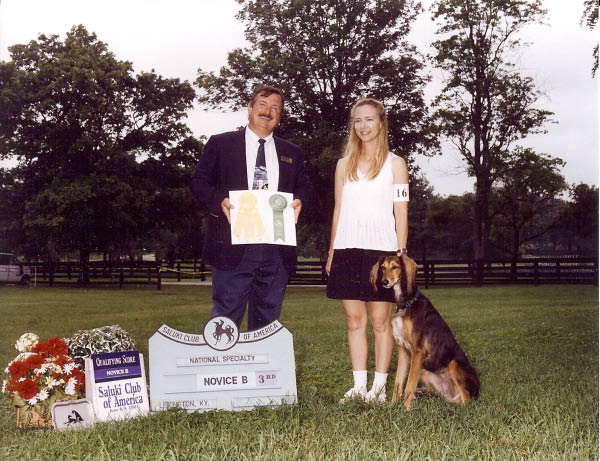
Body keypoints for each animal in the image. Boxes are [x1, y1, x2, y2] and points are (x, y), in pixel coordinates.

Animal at [368, 253, 480, 408]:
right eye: (383, 268)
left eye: (395, 267)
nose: (384, 282)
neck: (407, 303)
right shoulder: (403, 351)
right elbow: (398, 382)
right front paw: (393, 406)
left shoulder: (418, 351)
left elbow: (409, 385)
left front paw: (405, 409)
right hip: (425, 372)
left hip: (453, 364)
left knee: (466, 401)